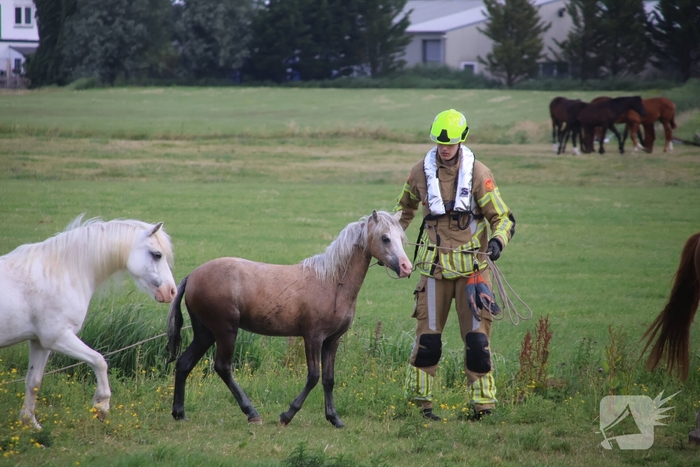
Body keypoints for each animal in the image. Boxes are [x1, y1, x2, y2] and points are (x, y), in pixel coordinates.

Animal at [0, 215, 177, 429]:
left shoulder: (40, 343)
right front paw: (101, 406)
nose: (172, 291)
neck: (61, 272)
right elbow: (99, 361)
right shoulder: (58, 338)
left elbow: (33, 382)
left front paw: (30, 424)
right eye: (157, 254)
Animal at [167, 210, 412, 428]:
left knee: (184, 364)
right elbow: (313, 377)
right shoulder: (313, 337)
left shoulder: (332, 341)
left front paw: (334, 418)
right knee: (223, 367)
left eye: (401, 238)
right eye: (385, 238)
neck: (331, 282)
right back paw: (252, 413)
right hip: (225, 331)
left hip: (206, 333)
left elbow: (328, 379)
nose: (406, 267)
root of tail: (192, 276)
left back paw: (180, 413)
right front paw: (287, 415)